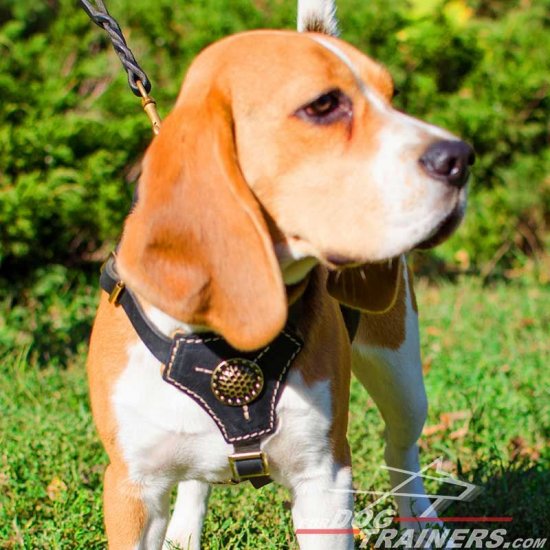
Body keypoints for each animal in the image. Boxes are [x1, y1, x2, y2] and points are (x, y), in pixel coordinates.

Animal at [87, 2, 474, 548]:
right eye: (323, 105)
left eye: (392, 99)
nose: (461, 157)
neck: (220, 344)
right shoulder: (130, 487)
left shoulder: (325, 479)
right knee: (195, 480)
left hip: (401, 371)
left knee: (401, 451)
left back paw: (421, 521)